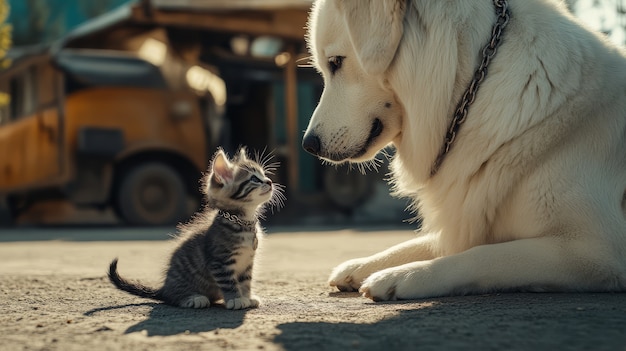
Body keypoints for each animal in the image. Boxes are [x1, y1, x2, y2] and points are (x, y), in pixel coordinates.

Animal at [108, 148, 282, 310]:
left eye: (263, 174)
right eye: (253, 179)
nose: (269, 182)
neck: (244, 223)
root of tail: (164, 288)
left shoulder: (247, 263)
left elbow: (246, 282)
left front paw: (247, 296)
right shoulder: (220, 262)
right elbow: (229, 283)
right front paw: (236, 299)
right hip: (181, 282)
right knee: (174, 298)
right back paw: (193, 298)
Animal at [302, 0, 624, 302]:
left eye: (335, 62)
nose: (309, 144)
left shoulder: (597, 250)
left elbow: (484, 255)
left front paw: (403, 276)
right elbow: (419, 243)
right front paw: (364, 265)